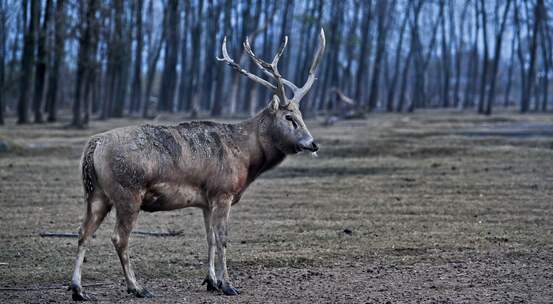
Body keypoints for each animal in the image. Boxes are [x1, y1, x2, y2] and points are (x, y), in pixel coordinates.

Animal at [71, 29, 326, 302]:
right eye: (289, 117)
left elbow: (209, 238)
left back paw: (78, 290)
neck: (247, 159)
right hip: (127, 192)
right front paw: (228, 285)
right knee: (119, 237)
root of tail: (94, 145)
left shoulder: (206, 199)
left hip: (96, 193)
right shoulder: (223, 191)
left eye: (302, 115)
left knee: (83, 232)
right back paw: (136, 287)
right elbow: (222, 238)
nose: (312, 143)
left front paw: (211, 281)